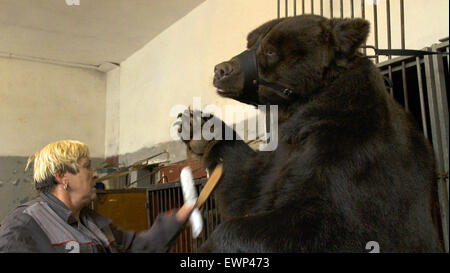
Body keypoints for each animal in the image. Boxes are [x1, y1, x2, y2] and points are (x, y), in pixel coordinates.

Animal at [178, 14, 442, 252]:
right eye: (250, 42)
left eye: (270, 51)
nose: (221, 70)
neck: (299, 111)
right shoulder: (280, 153)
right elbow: (246, 184)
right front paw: (199, 128)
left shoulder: (349, 153)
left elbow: (321, 221)